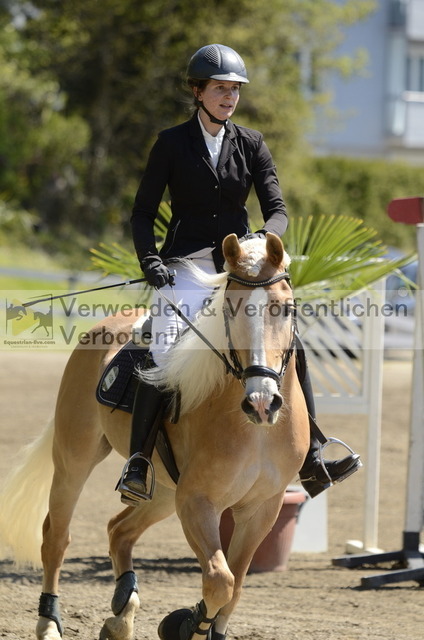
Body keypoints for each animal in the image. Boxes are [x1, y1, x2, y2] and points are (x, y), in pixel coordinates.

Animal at [0, 233, 310, 640]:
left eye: (285, 309)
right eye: (229, 311)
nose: (261, 403)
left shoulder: (263, 508)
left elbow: (237, 586)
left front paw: (201, 625)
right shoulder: (197, 501)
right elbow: (220, 581)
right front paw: (187, 624)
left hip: (162, 490)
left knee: (119, 530)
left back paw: (121, 615)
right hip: (75, 459)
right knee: (56, 536)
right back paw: (50, 622)